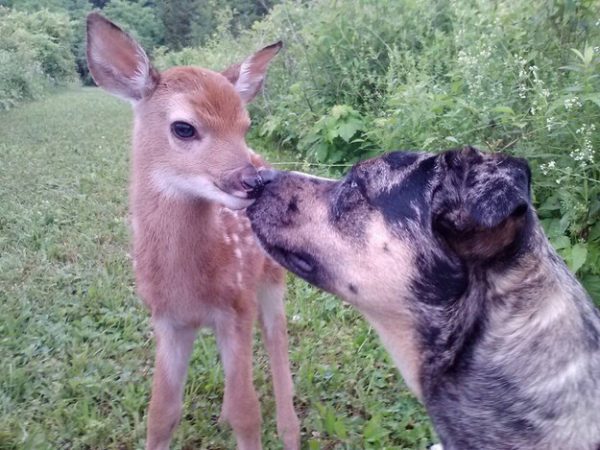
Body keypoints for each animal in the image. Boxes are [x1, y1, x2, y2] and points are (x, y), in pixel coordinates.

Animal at [85, 12, 300, 448]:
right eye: (184, 128)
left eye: (245, 124)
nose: (253, 181)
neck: (189, 284)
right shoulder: (167, 321)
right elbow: (161, 413)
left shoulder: (236, 305)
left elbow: (248, 412)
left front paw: (247, 422)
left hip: (270, 276)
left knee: (276, 338)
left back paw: (290, 431)